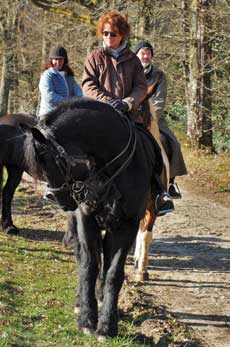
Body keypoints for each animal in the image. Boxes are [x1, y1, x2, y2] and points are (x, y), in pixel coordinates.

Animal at [24, 97, 159, 340]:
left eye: (52, 161)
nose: (56, 198)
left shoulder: (127, 226)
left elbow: (113, 272)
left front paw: (107, 325)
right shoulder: (86, 221)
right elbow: (89, 266)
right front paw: (87, 319)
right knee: (84, 257)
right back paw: (82, 302)